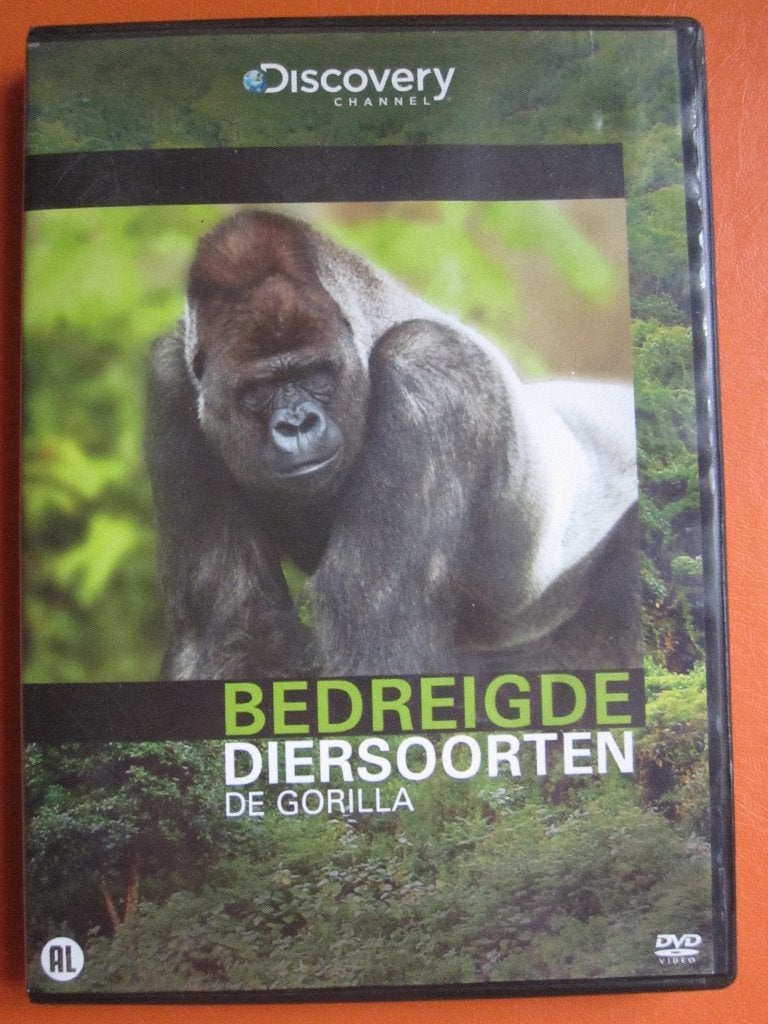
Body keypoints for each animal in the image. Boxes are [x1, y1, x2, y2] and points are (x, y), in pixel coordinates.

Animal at [146, 208, 641, 680]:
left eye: (316, 375)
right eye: (258, 390)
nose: (298, 424)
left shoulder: (427, 370)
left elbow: (374, 632)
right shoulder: (171, 377)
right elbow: (229, 632)